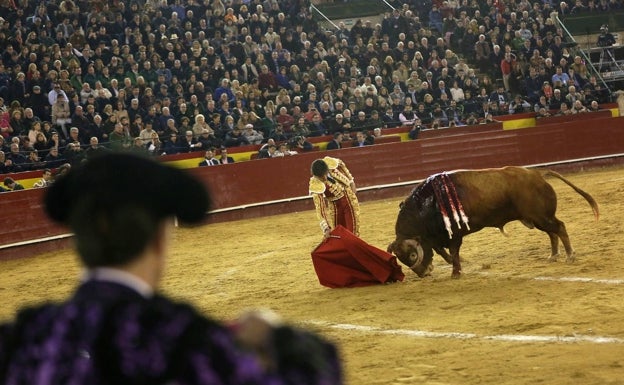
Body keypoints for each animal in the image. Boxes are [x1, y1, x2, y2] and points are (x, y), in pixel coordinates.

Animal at [388, 166, 596, 278]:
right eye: (402, 259)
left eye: (412, 256)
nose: (423, 274)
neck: (427, 204)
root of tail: (537, 174)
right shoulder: (436, 237)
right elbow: (442, 251)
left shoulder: (453, 234)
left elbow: (453, 251)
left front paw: (456, 272)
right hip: (539, 218)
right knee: (552, 233)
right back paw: (553, 255)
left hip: (541, 217)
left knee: (559, 227)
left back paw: (570, 256)